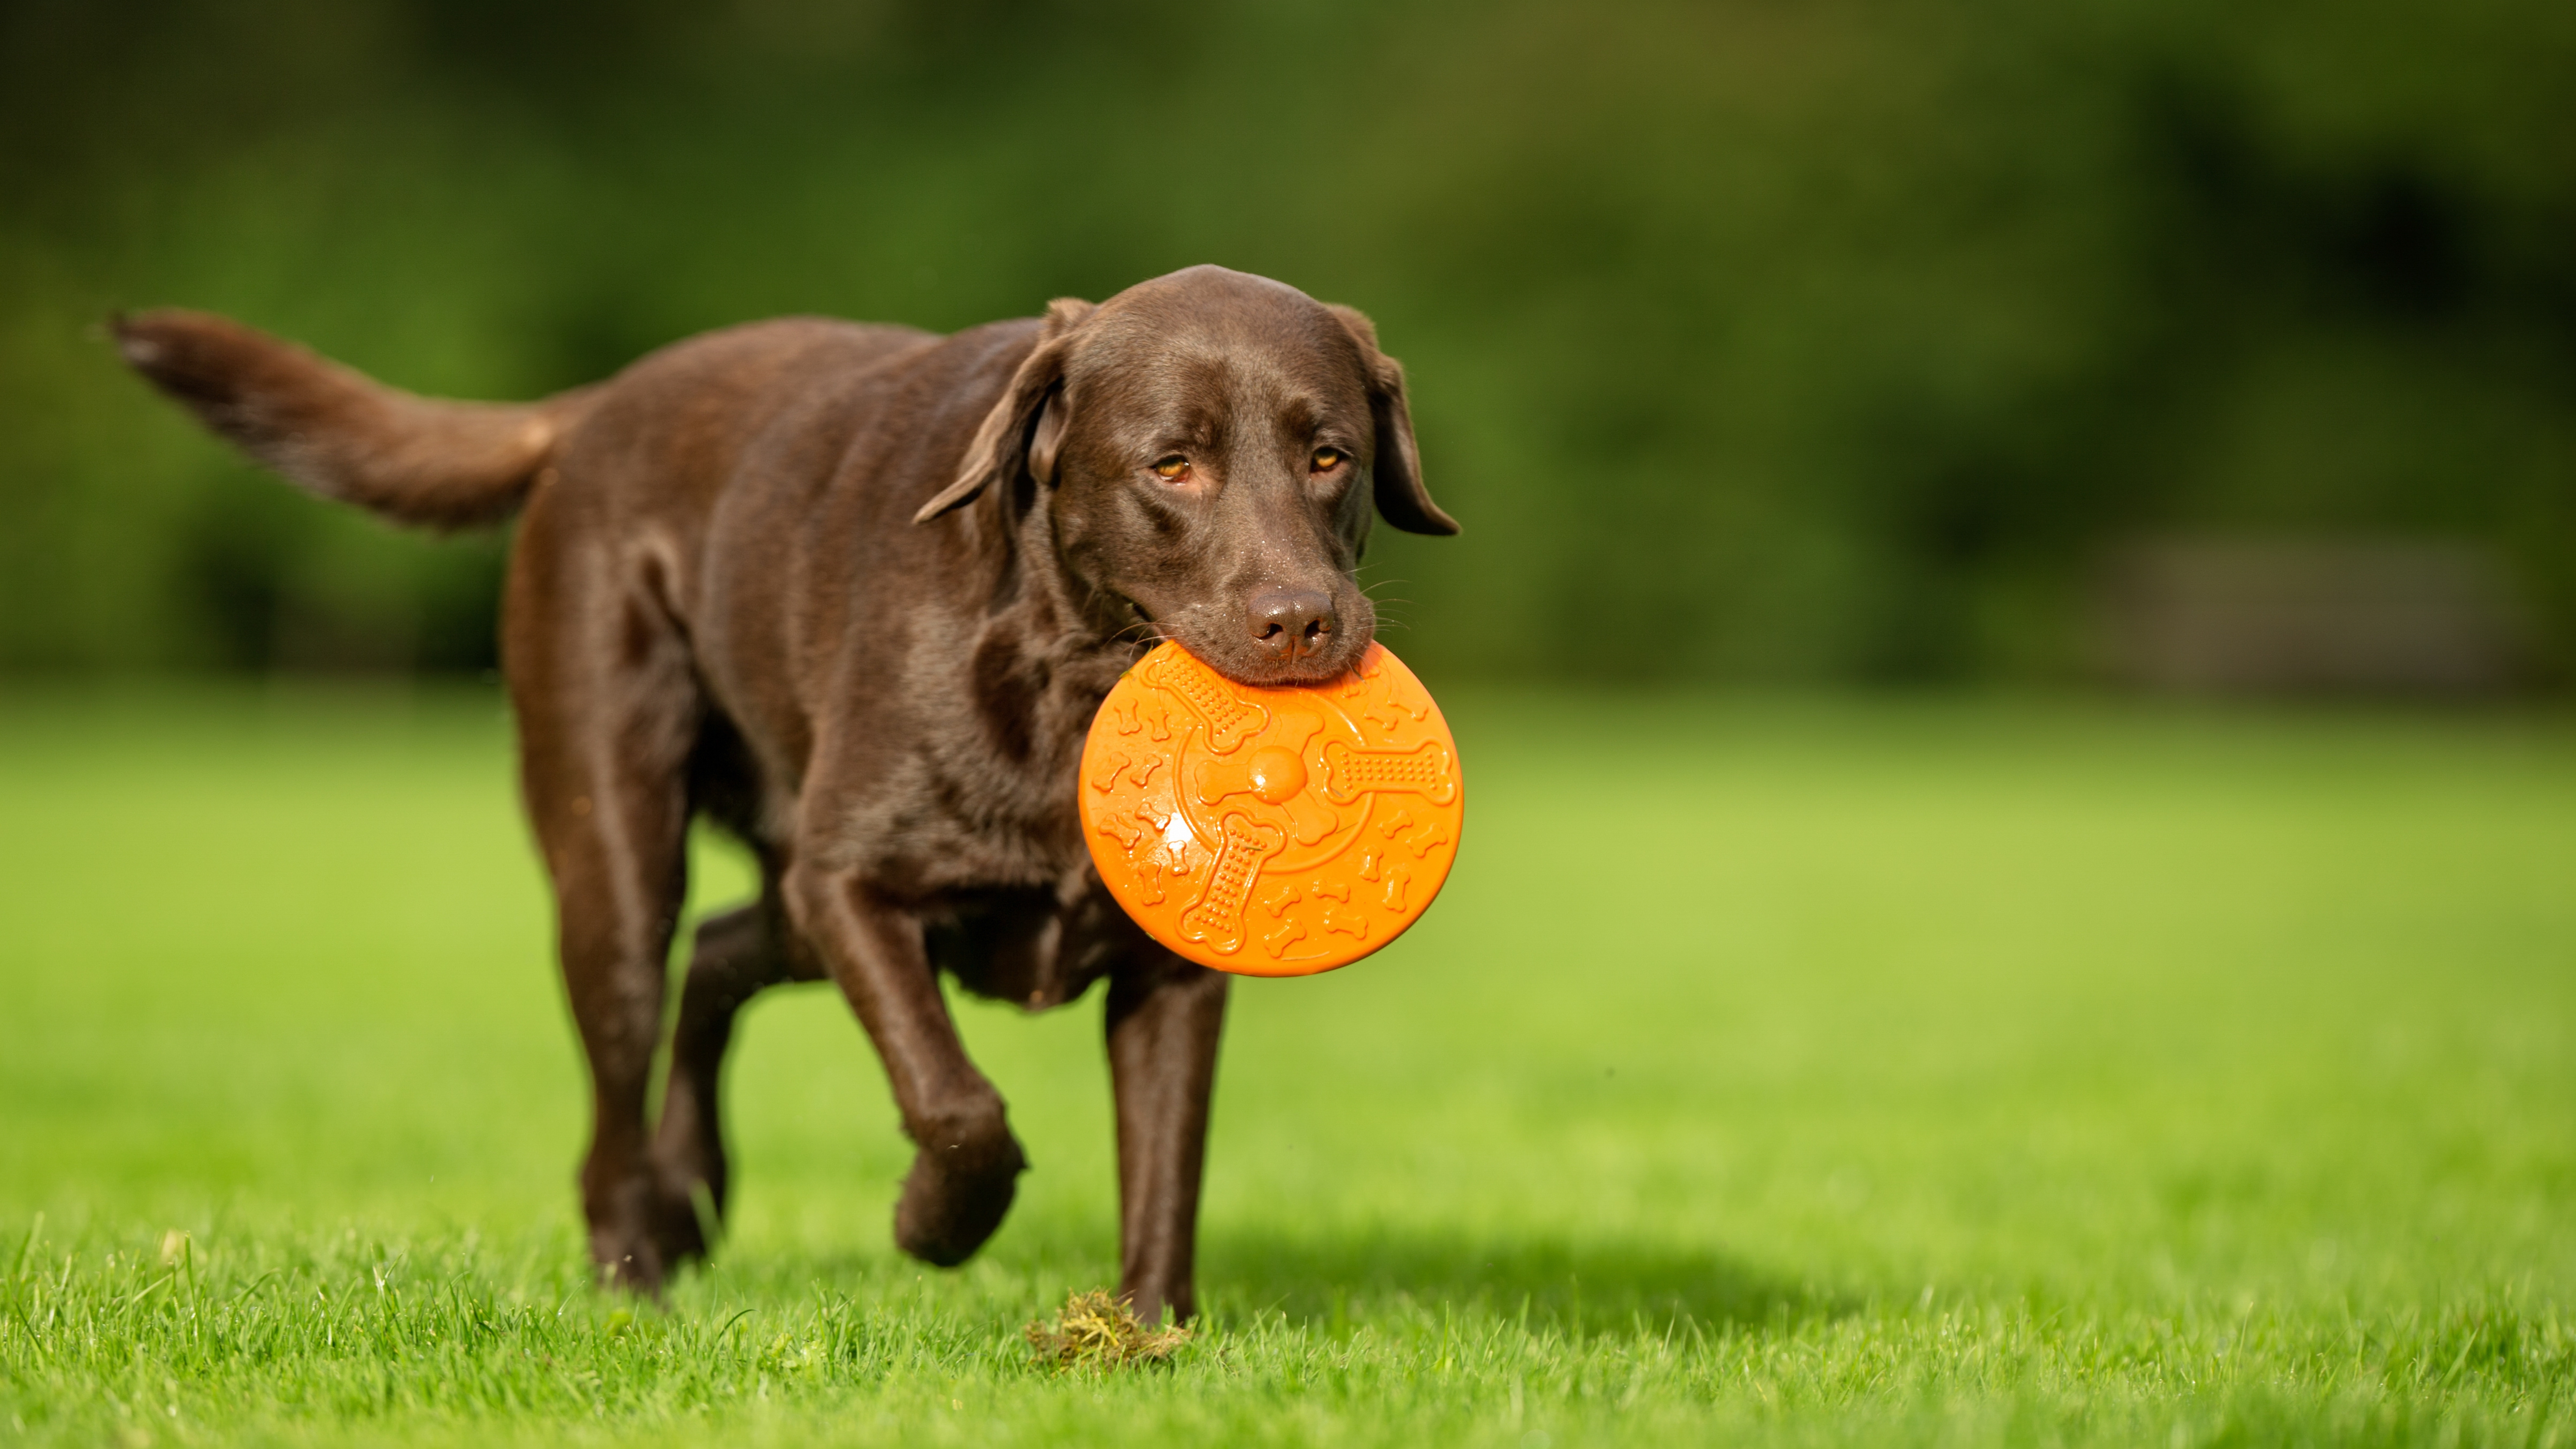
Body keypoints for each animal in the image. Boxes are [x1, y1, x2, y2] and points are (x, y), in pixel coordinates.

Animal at [121, 265, 1463, 1315]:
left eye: (1329, 456)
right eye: (1171, 465)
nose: (1303, 621)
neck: (1071, 680)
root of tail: (597, 406)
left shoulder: (1170, 970)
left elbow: (1167, 1162)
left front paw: (1143, 1336)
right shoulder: (853, 882)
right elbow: (957, 1101)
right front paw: (935, 1224)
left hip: (776, 897)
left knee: (718, 955)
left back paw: (693, 1189)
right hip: (621, 854)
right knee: (626, 1062)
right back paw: (634, 1267)